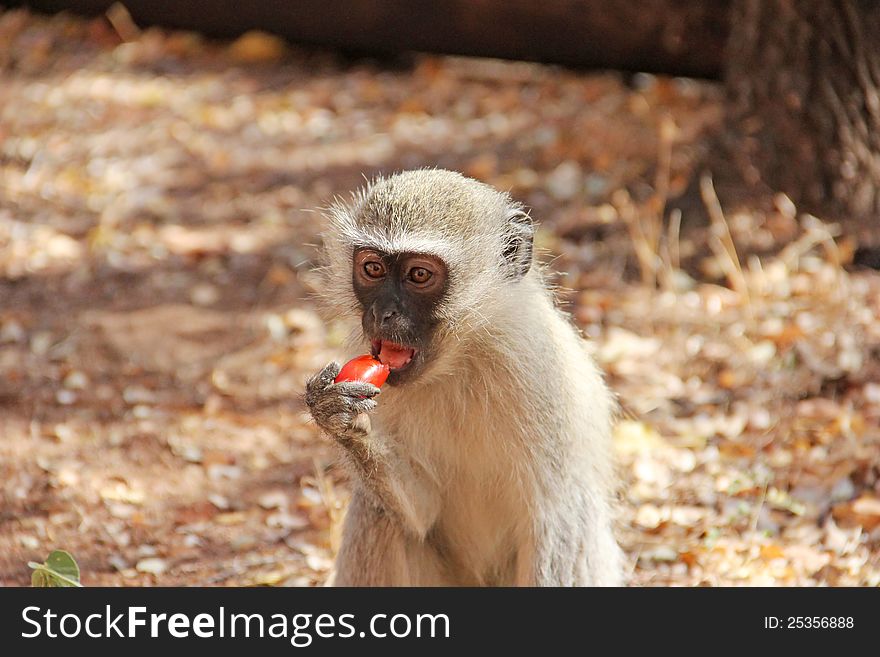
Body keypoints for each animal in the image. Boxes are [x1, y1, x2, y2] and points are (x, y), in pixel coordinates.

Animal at [306, 168, 624, 584]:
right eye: (372, 269)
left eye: (418, 274)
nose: (381, 313)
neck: (462, 357)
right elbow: (421, 512)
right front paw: (341, 420)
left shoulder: (542, 374)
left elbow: (556, 514)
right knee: (379, 514)